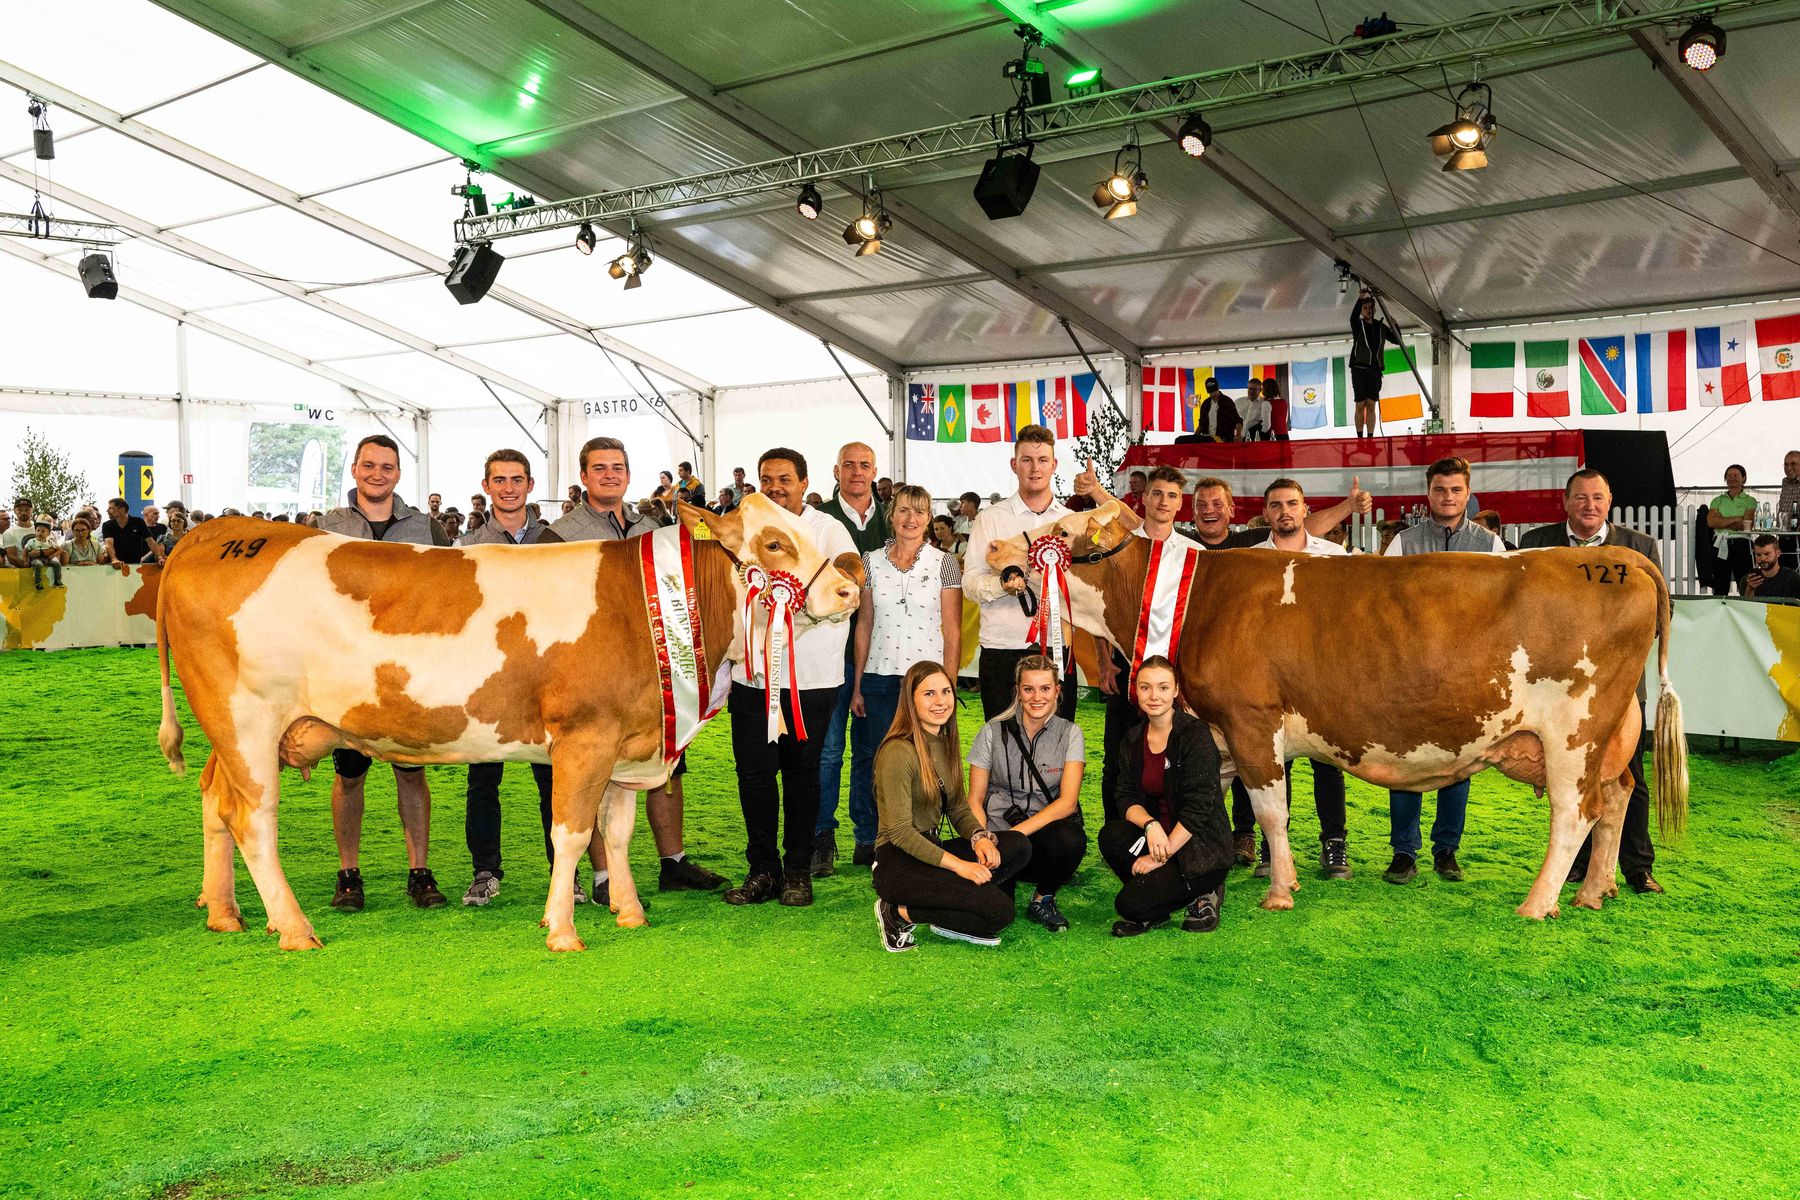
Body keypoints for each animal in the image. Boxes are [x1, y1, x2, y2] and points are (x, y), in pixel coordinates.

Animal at [153, 492, 856, 949]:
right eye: (773, 543)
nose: (849, 589)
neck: (644, 606)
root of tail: (211, 535)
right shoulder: (584, 737)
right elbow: (572, 833)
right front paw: (563, 931)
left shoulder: (627, 743)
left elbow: (618, 833)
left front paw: (629, 914)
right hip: (248, 720)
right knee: (253, 819)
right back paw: (294, 928)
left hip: (236, 730)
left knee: (214, 802)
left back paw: (225, 913)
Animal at [986, 503, 1684, 913]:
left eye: (1061, 532)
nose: (992, 552)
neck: (1197, 597)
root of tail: (1615, 557)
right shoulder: (1214, 732)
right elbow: (1214, 808)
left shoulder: (1253, 721)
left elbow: (1271, 812)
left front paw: (1279, 891)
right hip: (1612, 731)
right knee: (1618, 797)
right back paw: (1594, 891)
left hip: (1573, 730)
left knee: (1576, 812)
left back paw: (1540, 903)